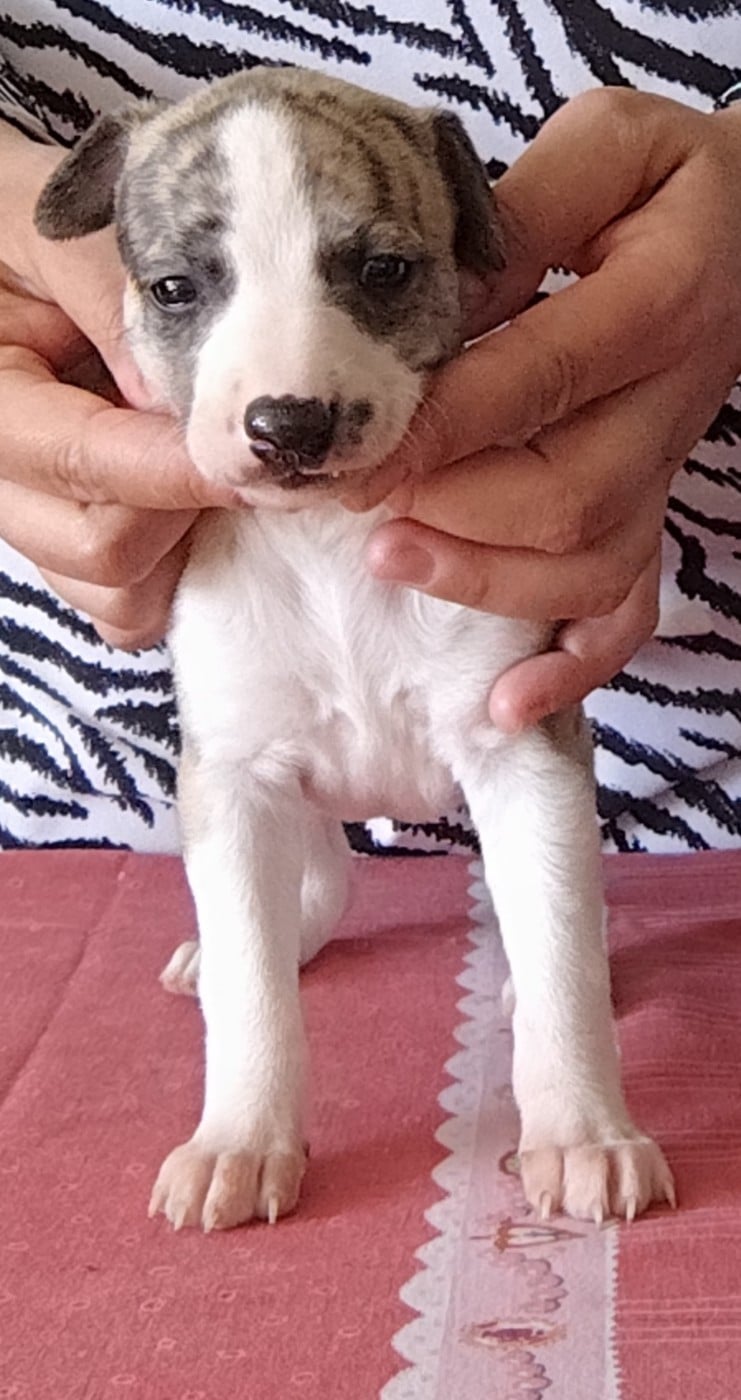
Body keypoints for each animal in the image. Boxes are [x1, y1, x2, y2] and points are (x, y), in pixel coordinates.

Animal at [36, 66, 674, 1232]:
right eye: (174, 289)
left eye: (383, 270)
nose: (290, 425)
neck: (326, 540)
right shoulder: (235, 775)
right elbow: (252, 987)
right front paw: (240, 1139)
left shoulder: (524, 743)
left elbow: (559, 952)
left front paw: (584, 1130)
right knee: (317, 876)